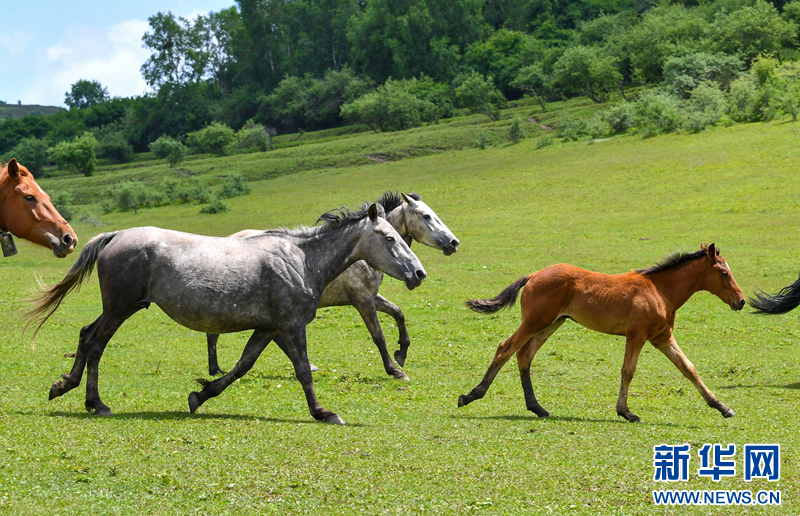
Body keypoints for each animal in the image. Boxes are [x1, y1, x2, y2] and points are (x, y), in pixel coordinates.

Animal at [26, 204, 424, 426]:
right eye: (389, 238)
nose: (418, 273)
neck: (302, 260)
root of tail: (117, 234)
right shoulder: (291, 324)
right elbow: (301, 371)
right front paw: (324, 413)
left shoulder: (268, 328)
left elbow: (242, 365)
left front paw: (201, 395)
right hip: (121, 308)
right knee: (95, 344)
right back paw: (96, 403)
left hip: (121, 307)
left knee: (85, 334)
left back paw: (64, 386)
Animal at [203, 191, 460, 380]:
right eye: (426, 216)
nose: (453, 243)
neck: (358, 254)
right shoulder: (362, 298)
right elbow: (378, 335)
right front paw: (394, 370)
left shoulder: (371, 296)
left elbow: (398, 313)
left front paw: (402, 352)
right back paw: (215, 369)